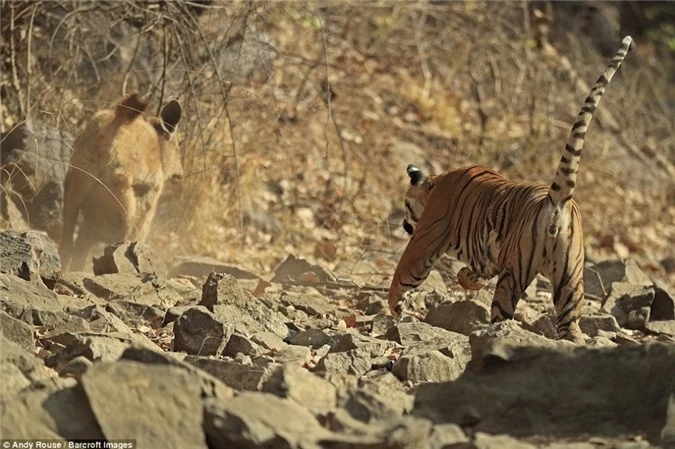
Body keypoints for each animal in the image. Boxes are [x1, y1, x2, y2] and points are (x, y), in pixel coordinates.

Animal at [388, 36, 636, 344]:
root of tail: (557, 200)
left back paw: (491, 335)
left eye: (405, 205)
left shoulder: (426, 240)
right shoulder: (490, 258)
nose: (402, 224)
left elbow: (404, 271)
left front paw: (394, 307)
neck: (435, 183)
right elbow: (475, 272)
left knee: (503, 312)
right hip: (570, 280)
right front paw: (465, 278)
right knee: (569, 326)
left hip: (513, 276)